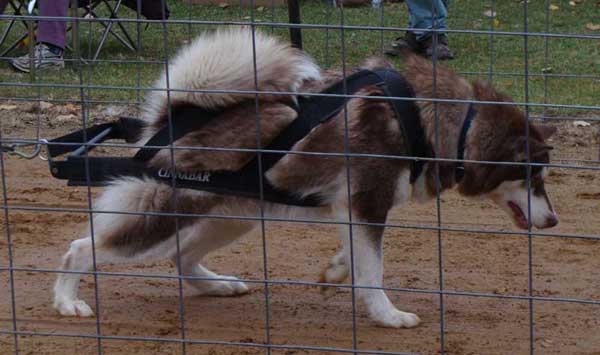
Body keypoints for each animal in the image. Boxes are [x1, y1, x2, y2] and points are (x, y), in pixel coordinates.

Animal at [51, 27, 556, 328]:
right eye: (531, 176)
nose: (553, 221)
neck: (434, 118)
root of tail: (169, 117)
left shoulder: (351, 209)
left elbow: (356, 259)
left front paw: (336, 270)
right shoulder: (367, 204)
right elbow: (372, 272)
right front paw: (388, 315)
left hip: (232, 217)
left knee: (182, 257)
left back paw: (217, 284)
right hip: (167, 217)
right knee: (81, 248)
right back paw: (67, 300)